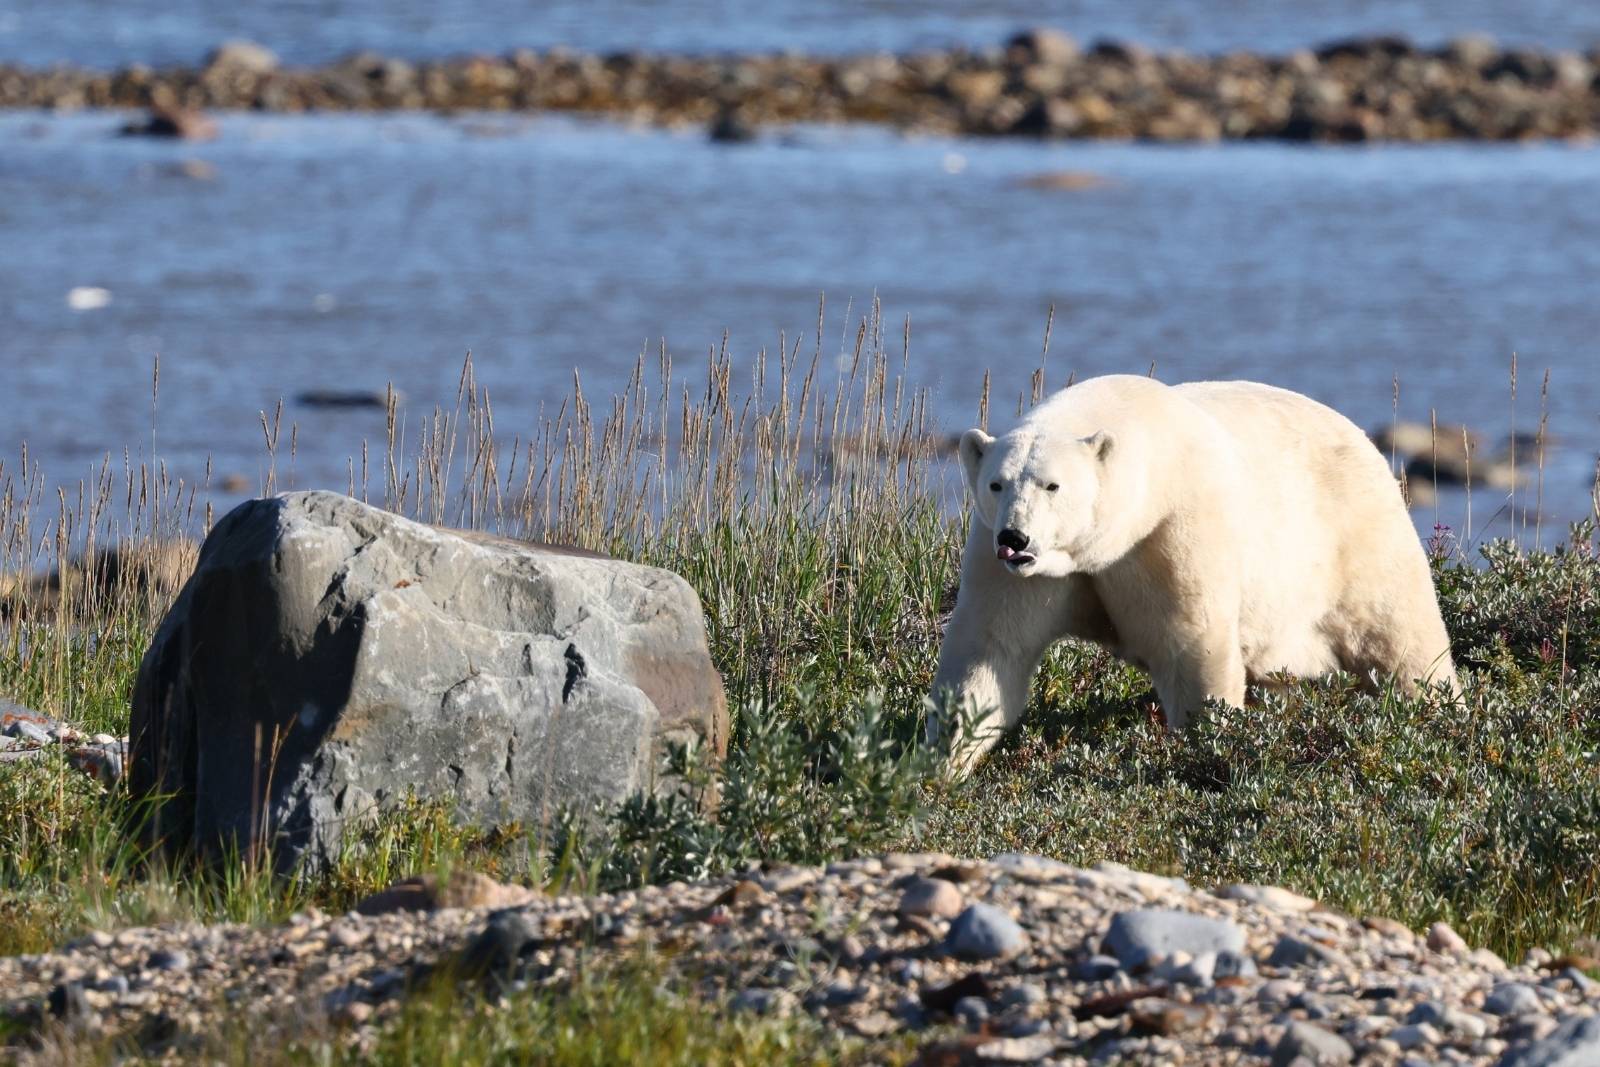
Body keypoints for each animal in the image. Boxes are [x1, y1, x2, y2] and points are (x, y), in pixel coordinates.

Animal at [928, 374, 1458, 776]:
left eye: (1052, 485)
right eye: (996, 484)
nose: (1016, 538)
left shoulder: (1172, 531)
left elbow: (1192, 644)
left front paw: (1209, 743)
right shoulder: (1015, 566)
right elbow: (991, 648)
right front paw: (943, 762)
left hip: (1356, 537)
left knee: (1402, 639)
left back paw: (1438, 708)